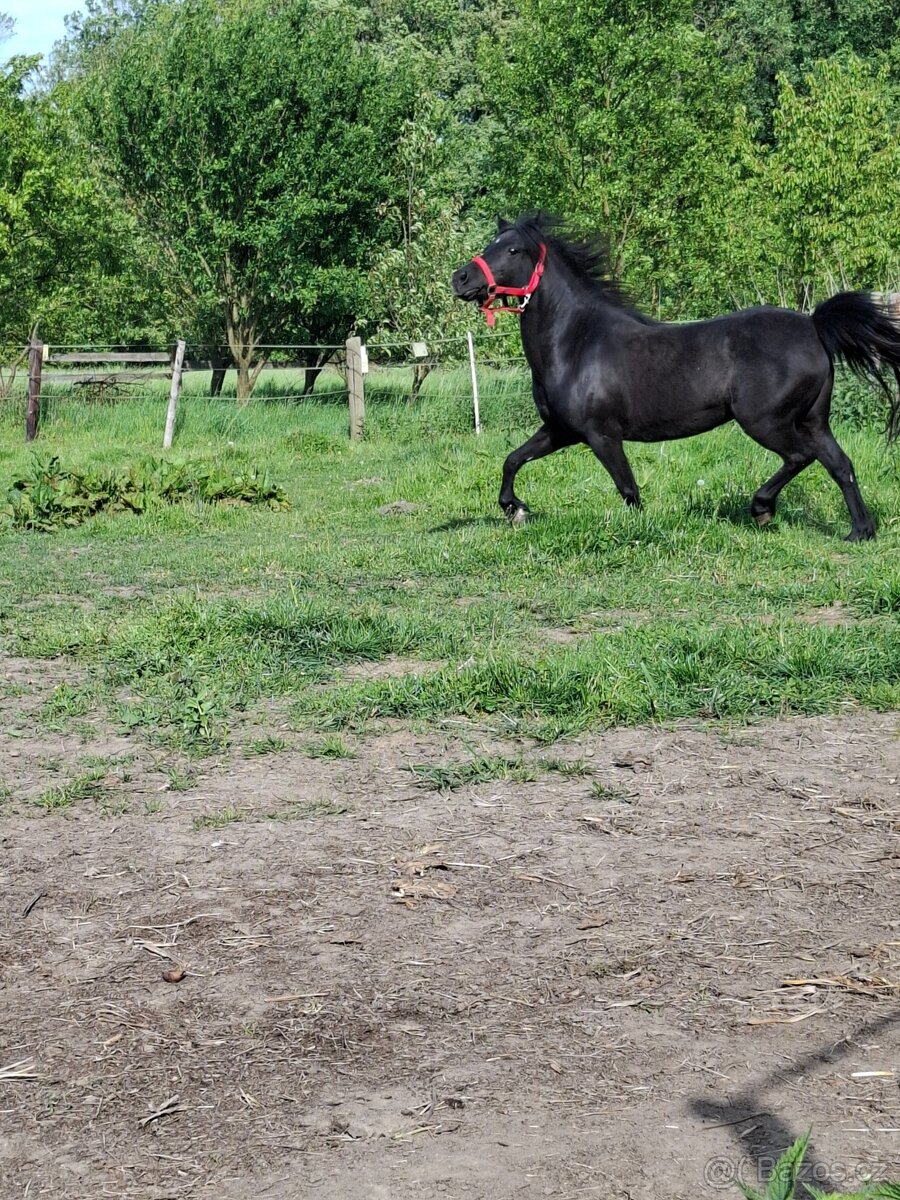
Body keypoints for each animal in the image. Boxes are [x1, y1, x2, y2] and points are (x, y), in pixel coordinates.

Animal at [451, 214, 900, 541]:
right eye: (490, 245)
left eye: (512, 249)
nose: (461, 278)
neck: (576, 342)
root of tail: (812, 325)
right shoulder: (561, 430)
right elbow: (513, 459)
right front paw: (514, 509)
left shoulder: (601, 435)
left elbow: (629, 490)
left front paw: (641, 531)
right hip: (813, 420)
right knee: (840, 465)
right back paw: (860, 532)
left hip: (766, 422)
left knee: (800, 457)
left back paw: (762, 509)